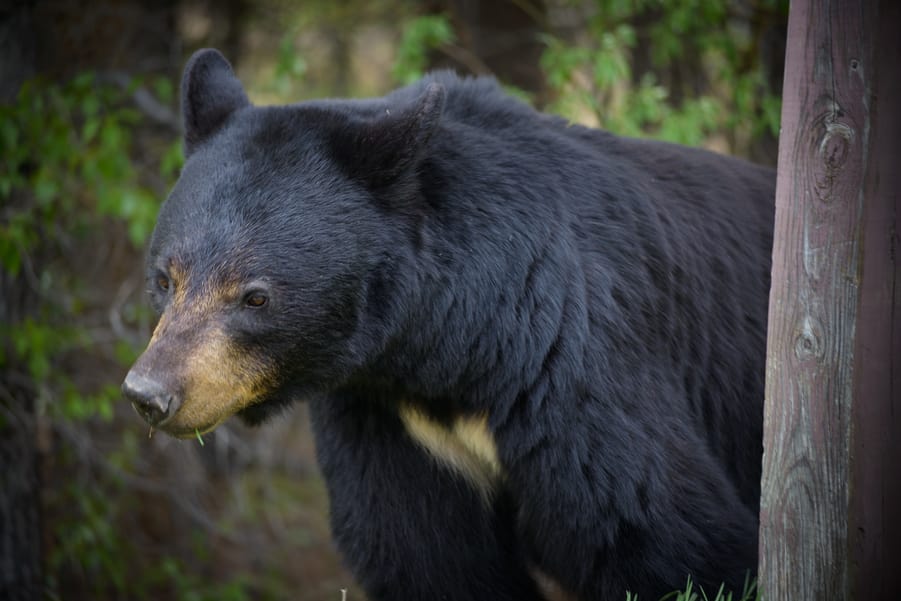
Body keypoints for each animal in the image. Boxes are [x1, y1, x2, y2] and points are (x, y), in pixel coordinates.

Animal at [121, 48, 772, 600]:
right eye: (165, 278)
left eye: (255, 296)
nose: (149, 394)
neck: (445, 352)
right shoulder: (384, 417)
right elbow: (425, 552)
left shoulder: (578, 367)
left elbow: (654, 527)